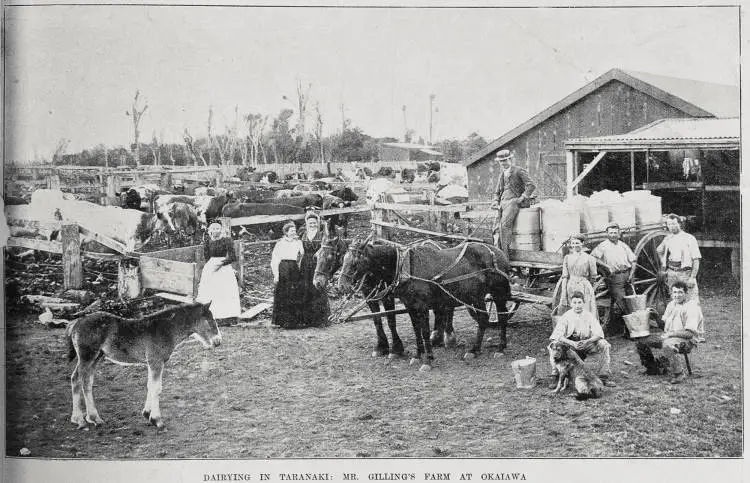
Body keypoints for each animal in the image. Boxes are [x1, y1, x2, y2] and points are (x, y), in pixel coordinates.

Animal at [312, 224, 458, 360]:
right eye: (316, 255)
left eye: (331, 256)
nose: (317, 282)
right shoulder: (369, 296)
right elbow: (377, 319)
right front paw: (381, 346)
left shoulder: (387, 297)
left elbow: (390, 320)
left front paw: (395, 349)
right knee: (440, 310)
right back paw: (437, 336)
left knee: (448, 308)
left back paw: (448, 336)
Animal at [338, 239, 516, 370]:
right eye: (343, 260)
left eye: (355, 262)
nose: (341, 286)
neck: (406, 268)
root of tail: (499, 252)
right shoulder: (411, 306)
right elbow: (416, 330)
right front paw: (417, 355)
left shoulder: (422, 306)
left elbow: (424, 332)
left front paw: (427, 359)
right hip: (476, 296)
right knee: (485, 319)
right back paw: (477, 349)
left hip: (497, 294)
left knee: (499, 317)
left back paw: (495, 348)